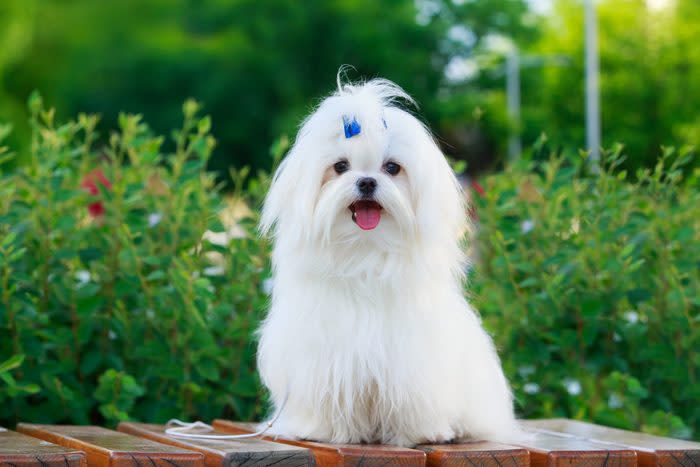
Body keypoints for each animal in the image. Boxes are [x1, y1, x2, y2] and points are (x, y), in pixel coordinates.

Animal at [258, 78, 520, 448]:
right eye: (340, 167)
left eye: (392, 168)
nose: (367, 181)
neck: (365, 254)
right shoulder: (324, 357)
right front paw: (324, 430)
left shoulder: (412, 360)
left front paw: (419, 433)